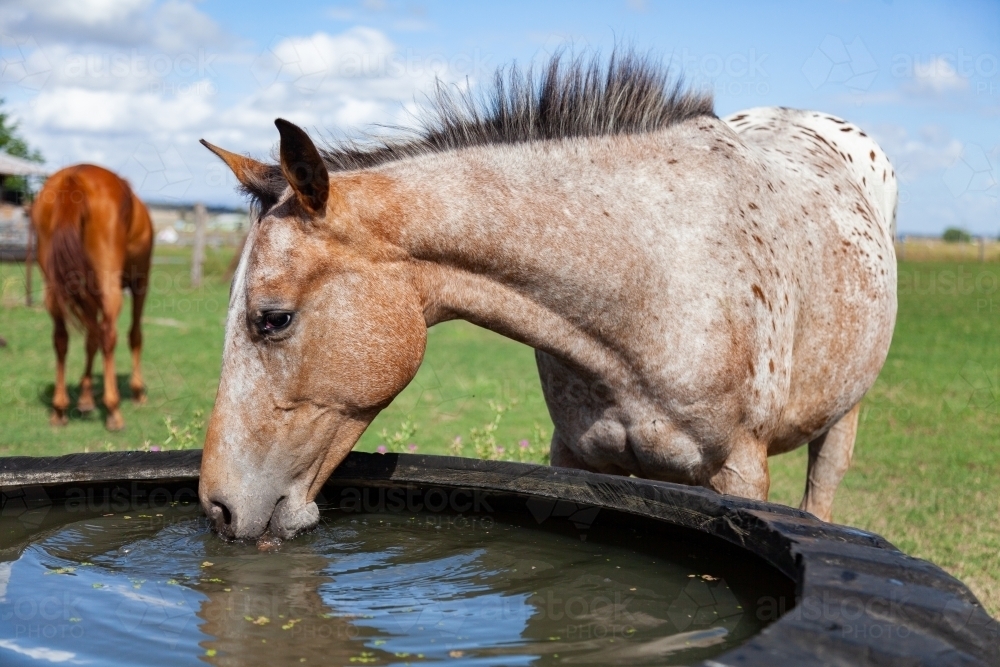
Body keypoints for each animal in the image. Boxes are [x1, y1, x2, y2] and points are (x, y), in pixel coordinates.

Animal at [32, 164, 153, 430]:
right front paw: (137, 391)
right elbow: (134, 335)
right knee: (109, 335)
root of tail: (75, 177)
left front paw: (85, 399)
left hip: (54, 287)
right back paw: (113, 410)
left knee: (61, 338)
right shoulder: (140, 283)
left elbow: (90, 340)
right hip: (111, 286)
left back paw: (60, 409)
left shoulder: (86, 292)